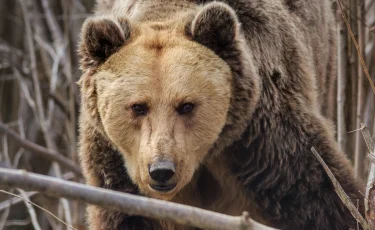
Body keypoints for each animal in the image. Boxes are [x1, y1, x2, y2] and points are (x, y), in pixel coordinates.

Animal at [78, 0, 364, 230]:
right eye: (138, 106)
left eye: (187, 105)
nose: (161, 171)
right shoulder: (116, 164)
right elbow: (126, 215)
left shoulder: (261, 143)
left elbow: (319, 197)